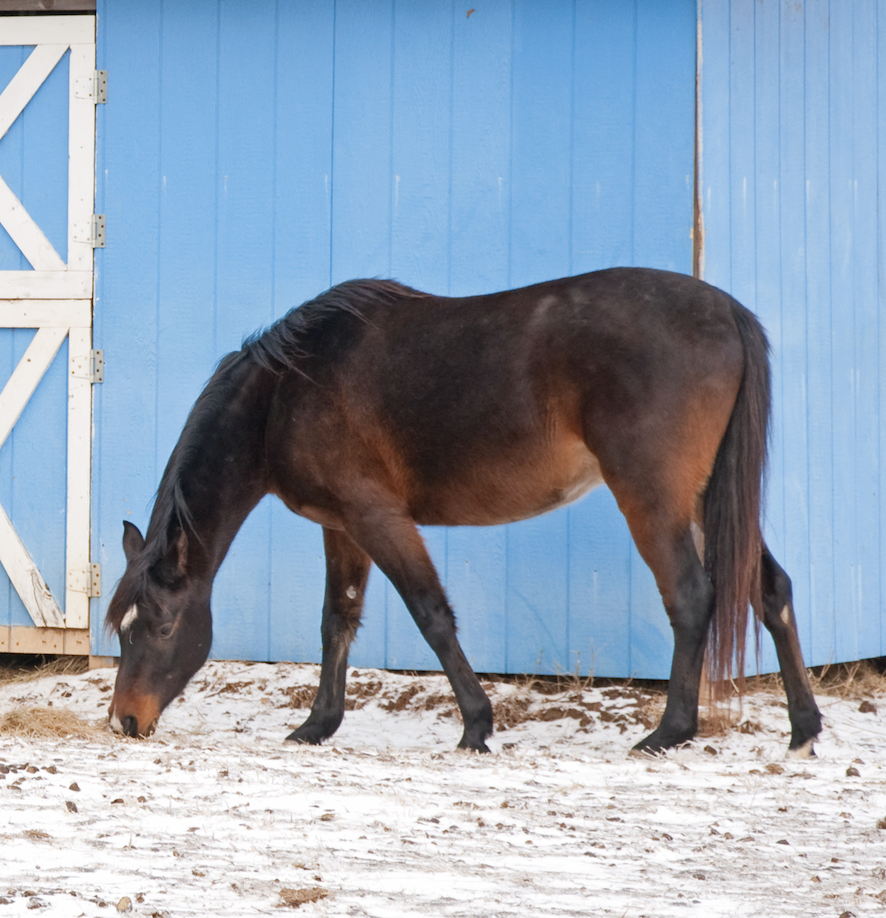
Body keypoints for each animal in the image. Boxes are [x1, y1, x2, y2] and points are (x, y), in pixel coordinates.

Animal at [106, 268, 822, 756]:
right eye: (122, 630)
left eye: (162, 628)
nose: (125, 720)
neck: (286, 393)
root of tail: (727, 311)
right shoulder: (342, 527)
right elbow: (337, 620)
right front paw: (317, 725)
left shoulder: (379, 519)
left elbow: (430, 615)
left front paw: (477, 725)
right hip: (707, 498)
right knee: (770, 588)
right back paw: (803, 729)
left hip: (654, 498)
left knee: (692, 596)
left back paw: (669, 731)